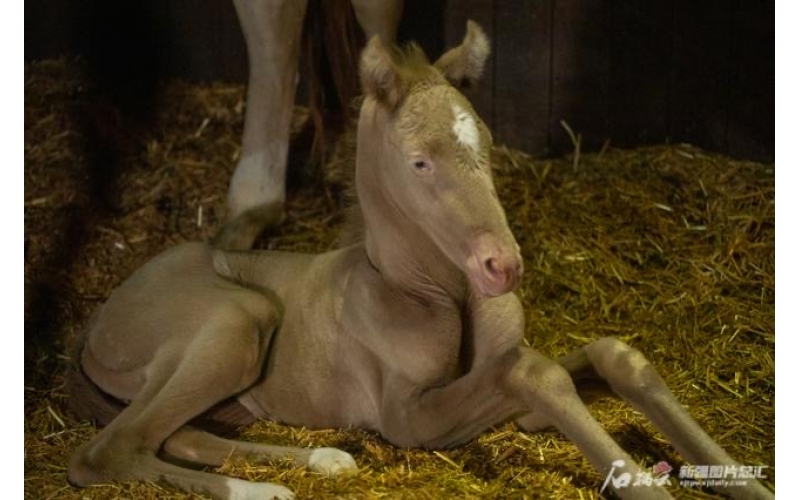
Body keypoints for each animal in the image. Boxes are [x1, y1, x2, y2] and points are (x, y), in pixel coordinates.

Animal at [65, 22, 773, 500]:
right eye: (419, 163)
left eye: (486, 143)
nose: (502, 267)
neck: (431, 293)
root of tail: (95, 327)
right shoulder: (407, 419)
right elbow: (533, 370)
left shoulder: (511, 405)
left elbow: (608, 357)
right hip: (238, 321)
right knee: (106, 451)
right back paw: (265, 489)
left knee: (178, 432)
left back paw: (323, 460)